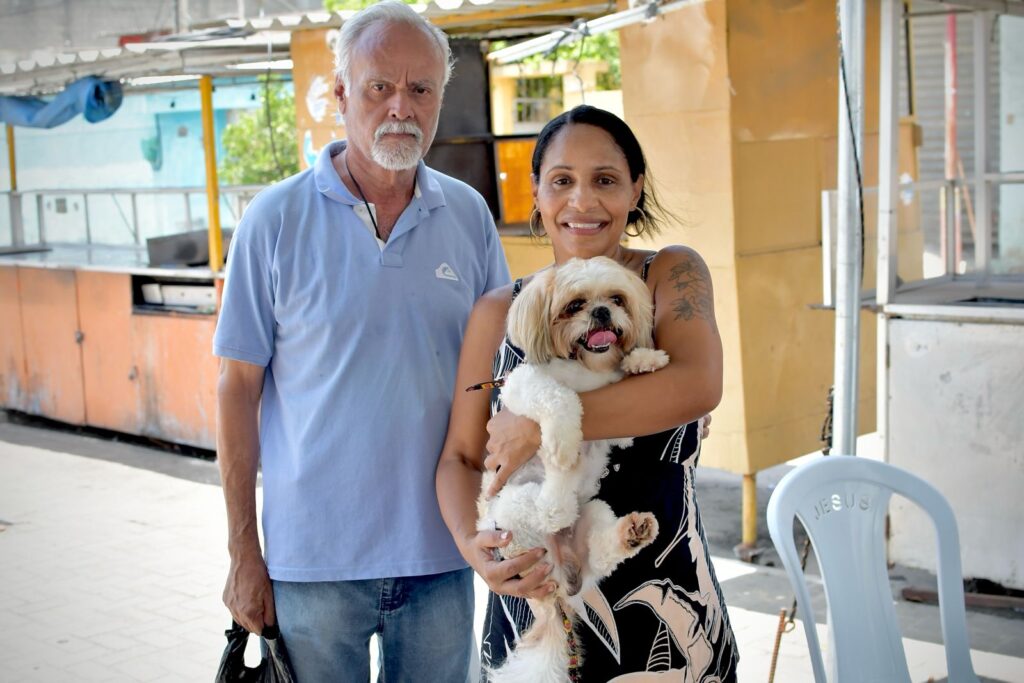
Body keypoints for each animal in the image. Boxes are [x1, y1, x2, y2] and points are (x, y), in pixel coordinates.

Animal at [477, 255, 667, 683]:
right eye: (575, 305)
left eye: (617, 299)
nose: (601, 312)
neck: (586, 369)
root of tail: (557, 585)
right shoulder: (524, 386)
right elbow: (560, 398)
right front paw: (563, 440)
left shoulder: (620, 426)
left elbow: (620, 388)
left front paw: (643, 360)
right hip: (515, 506)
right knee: (548, 507)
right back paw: (558, 484)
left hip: (593, 515)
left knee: (600, 549)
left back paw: (632, 532)